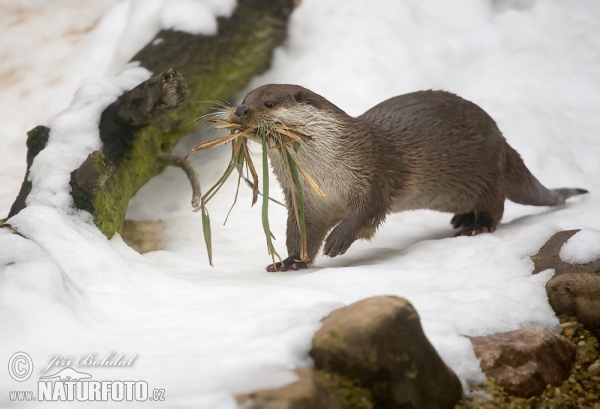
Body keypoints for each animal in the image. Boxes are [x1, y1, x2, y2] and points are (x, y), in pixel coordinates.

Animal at [229, 84, 584, 270]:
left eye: (268, 103)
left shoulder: (373, 173)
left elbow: (367, 212)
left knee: (496, 207)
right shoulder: (304, 198)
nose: (240, 112)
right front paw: (290, 261)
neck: (327, 173)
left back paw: (475, 226)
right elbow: (300, 233)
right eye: (243, 100)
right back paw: (462, 219)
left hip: (487, 174)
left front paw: (338, 240)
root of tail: (502, 141)